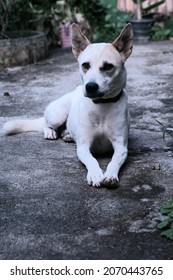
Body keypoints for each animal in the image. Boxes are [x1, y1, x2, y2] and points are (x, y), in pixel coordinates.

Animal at [2, 23, 132, 187]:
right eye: (85, 65)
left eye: (108, 66)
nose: (90, 87)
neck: (102, 106)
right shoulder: (83, 146)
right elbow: (92, 160)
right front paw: (95, 174)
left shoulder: (121, 147)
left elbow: (114, 161)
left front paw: (110, 175)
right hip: (57, 114)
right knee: (45, 124)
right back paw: (51, 132)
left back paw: (67, 135)